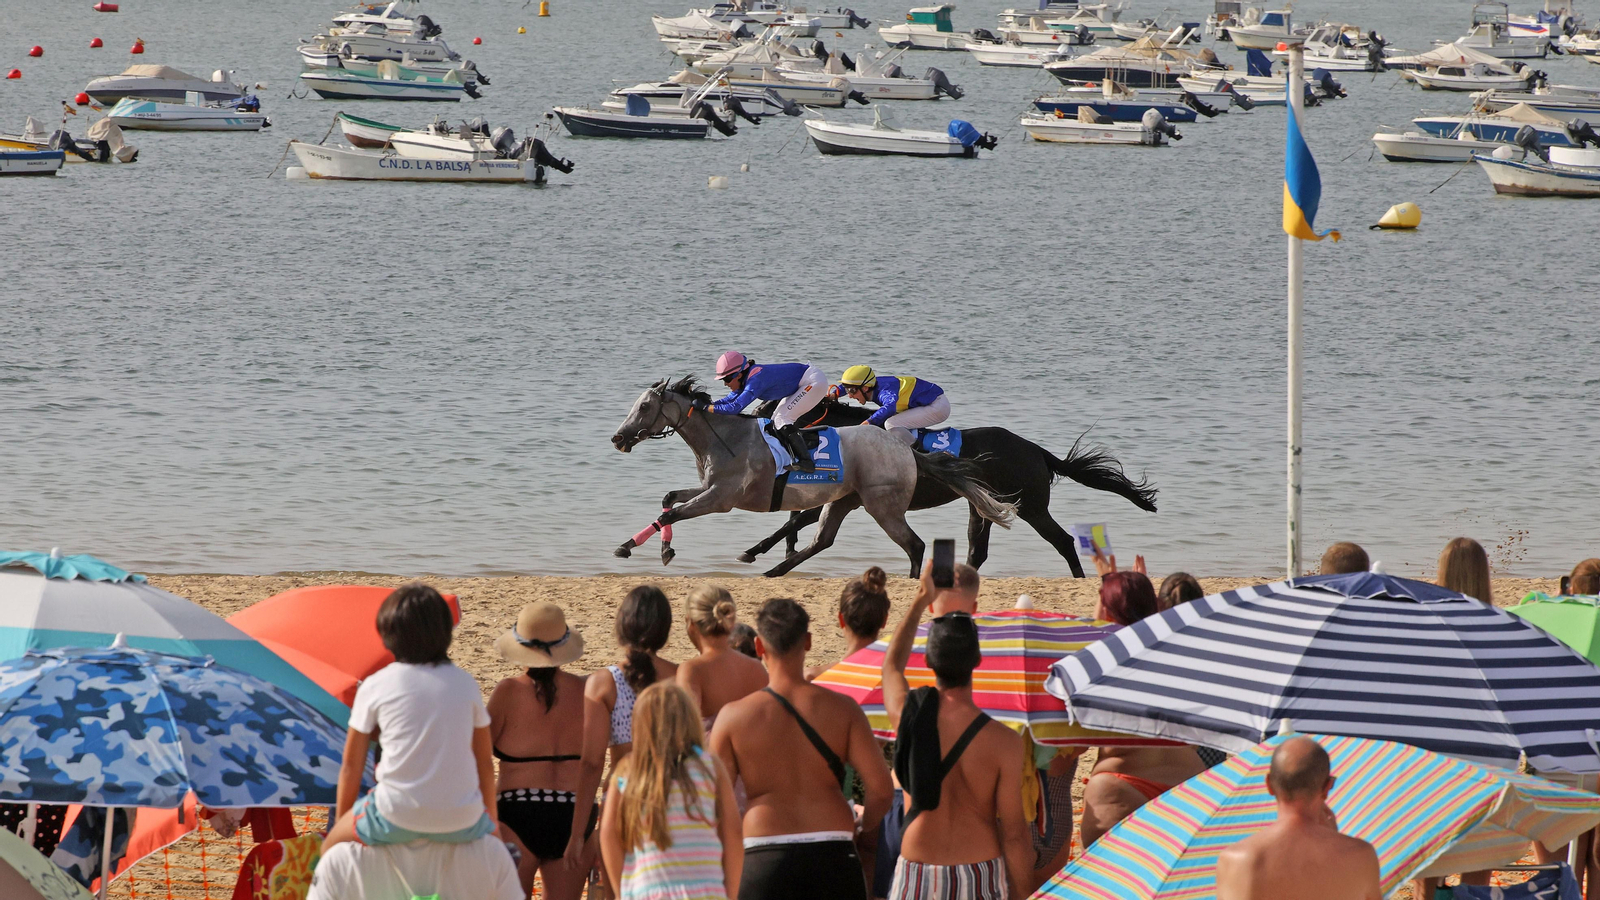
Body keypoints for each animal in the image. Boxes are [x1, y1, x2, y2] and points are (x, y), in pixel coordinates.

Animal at [610, 377, 1018, 577]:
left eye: (644, 407)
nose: (618, 438)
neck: (724, 436)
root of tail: (905, 448)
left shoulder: (721, 499)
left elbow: (672, 513)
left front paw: (644, 549)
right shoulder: (708, 489)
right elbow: (668, 501)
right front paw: (646, 547)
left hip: (883, 506)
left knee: (915, 546)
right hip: (844, 501)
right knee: (822, 540)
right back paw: (773, 571)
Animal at [738, 398, 1157, 577]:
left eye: (768, 407)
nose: (756, 424)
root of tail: (1037, 451)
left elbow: (797, 521)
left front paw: (753, 552)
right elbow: (799, 522)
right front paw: (758, 552)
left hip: (1032, 506)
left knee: (1064, 541)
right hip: (984, 506)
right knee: (977, 550)